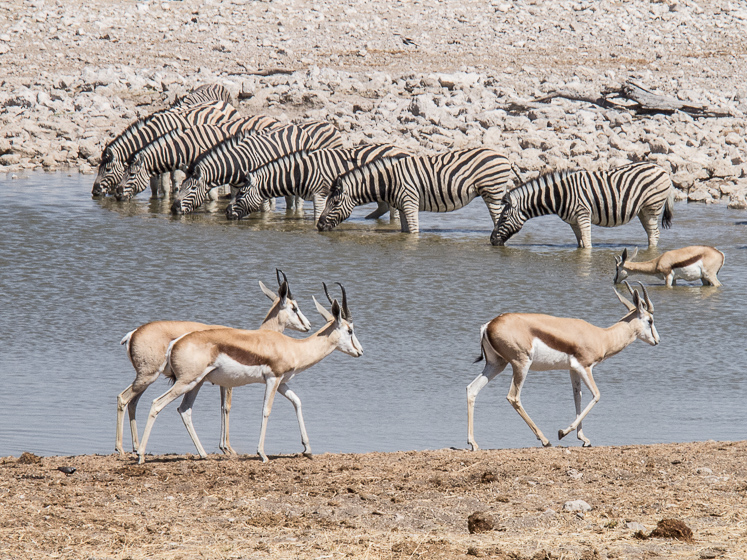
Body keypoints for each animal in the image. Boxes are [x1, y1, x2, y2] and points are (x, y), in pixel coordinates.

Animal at [91, 99, 238, 197]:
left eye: (108, 170)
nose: (94, 192)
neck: (152, 134)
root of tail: (224, 103)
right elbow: (154, 184)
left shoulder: (168, 157)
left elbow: (167, 183)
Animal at [171, 121, 343, 215]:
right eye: (182, 186)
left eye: (193, 188)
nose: (173, 209)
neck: (238, 164)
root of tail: (298, 128)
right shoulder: (236, 187)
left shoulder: (260, 184)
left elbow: (263, 209)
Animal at [224, 144, 411, 221]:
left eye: (241, 194)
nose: (226, 212)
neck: (299, 172)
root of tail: (403, 150)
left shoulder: (319, 194)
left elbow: (317, 215)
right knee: (383, 208)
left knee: (392, 212)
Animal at [316, 148, 513, 234]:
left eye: (335, 203)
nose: (318, 226)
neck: (388, 180)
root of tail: (504, 156)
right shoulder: (402, 207)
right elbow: (405, 232)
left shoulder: (410, 202)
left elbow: (413, 232)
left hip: (492, 193)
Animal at [490, 162, 675, 248]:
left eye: (504, 217)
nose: (491, 241)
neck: (559, 195)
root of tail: (663, 170)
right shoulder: (573, 221)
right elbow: (581, 244)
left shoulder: (582, 215)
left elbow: (587, 244)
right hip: (643, 210)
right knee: (652, 234)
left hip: (652, 207)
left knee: (654, 234)